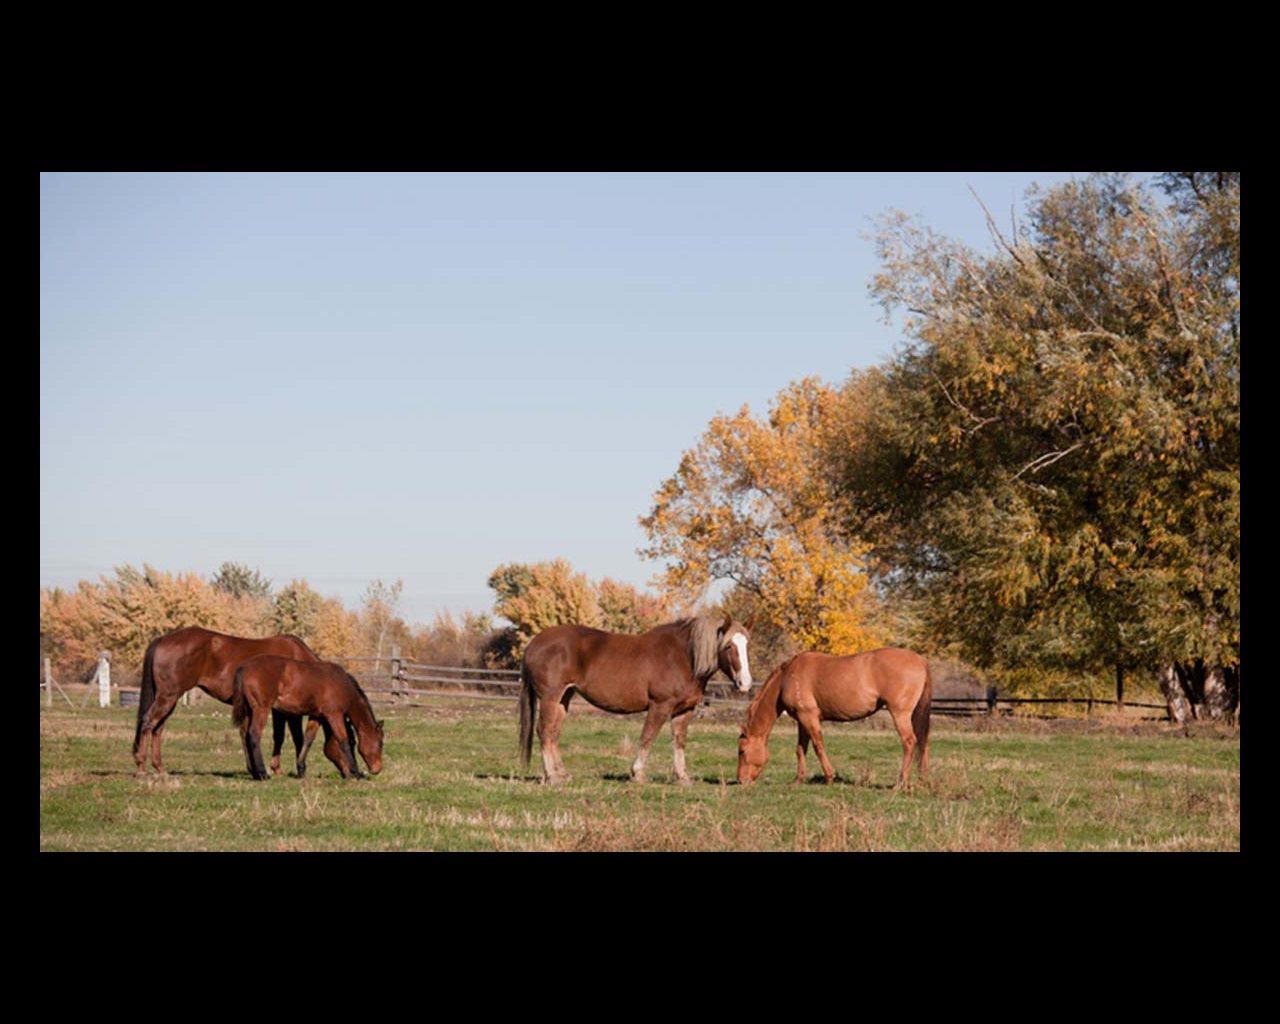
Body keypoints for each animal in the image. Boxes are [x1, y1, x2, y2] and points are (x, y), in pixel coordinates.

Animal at [133, 626, 324, 777]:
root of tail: (163, 640)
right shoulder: (288, 712)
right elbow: (295, 737)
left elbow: (277, 736)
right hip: (168, 696)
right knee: (148, 722)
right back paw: (141, 767)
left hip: (169, 699)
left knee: (158, 728)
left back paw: (159, 767)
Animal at [231, 655, 384, 780]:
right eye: (380, 743)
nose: (377, 769)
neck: (342, 684)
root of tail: (245, 667)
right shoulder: (334, 715)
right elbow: (343, 741)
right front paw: (357, 773)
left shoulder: (316, 716)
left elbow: (308, 740)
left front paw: (301, 770)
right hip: (261, 709)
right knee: (254, 735)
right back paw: (263, 773)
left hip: (249, 712)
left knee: (244, 735)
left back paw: (255, 773)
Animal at [519, 613, 754, 785]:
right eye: (729, 646)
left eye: (746, 646)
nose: (745, 683)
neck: (684, 657)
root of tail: (532, 644)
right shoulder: (660, 705)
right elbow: (648, 737)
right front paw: (638, 774)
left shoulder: (684, 709)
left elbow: (679, 740)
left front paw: (682, 777)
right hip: (550, 697)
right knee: (545, 731)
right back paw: (552, 777)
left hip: (563, 698)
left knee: (554, 732)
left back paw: (562, 773)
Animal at [737, 647, 932, 788]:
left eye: (742, 751)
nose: (740, 780)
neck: (787, 678)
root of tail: (920, 660)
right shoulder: (802, 720)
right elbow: (801, 749)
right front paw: (798, 780)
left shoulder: (808, 717)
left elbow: (818, 746)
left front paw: (829, 777)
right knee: (923, 742)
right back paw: (922, 780)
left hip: (900, 713)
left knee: (909, 742)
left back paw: (900, 783)